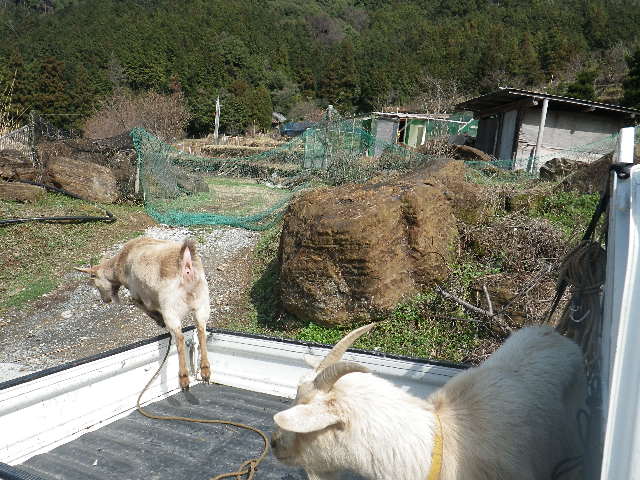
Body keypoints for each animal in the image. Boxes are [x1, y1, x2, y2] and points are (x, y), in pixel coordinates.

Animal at [75, 235, 210, 390]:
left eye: (95, 283)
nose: (105, 300)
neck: (120, 263)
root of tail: (186, 265)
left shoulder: (138, 293)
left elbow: (140, 304)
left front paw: (159, 320)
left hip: (171, 306)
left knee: (180, 337)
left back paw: (184, 378)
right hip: (202, 300)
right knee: (201, 329)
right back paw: (205, 371)